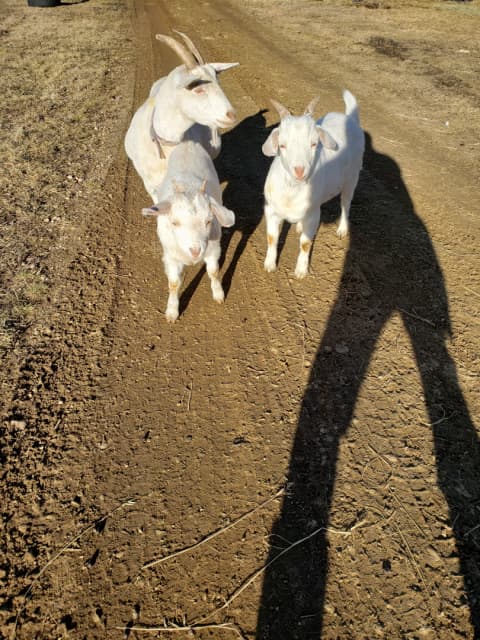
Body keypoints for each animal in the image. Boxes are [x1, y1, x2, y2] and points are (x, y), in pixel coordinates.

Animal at [142, 140, 235, 322]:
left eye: (208, 220)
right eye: (174, 222)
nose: (195, 251)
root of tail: (188, 143)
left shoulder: (213, 249)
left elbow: (213, 272)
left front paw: (218, 294)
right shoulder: (170, 257)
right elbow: (173, 284)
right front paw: (172, 311)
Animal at [262, 90, 365, 278]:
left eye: (314, 143)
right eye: (282, 145)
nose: (299, 170)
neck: (292, 190)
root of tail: (349, 118)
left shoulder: (314, 214)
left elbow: (305, 243)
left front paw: (301, 271)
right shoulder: (271, 210)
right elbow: (271, 238)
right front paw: (270, 265)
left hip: (352, 178)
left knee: (346, 204)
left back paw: (342, 229)